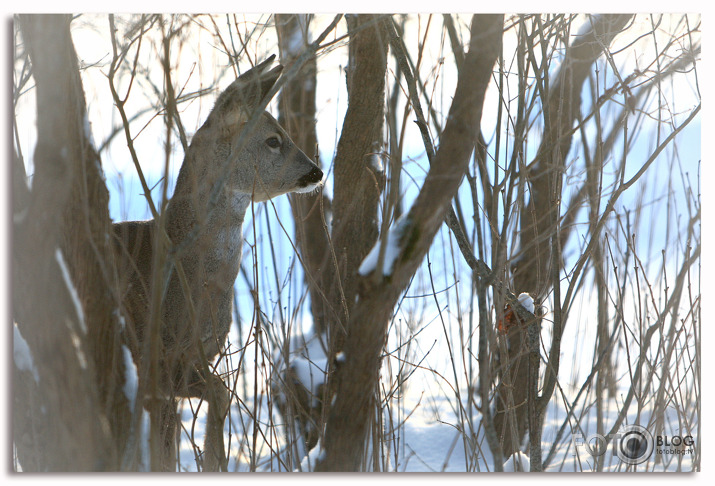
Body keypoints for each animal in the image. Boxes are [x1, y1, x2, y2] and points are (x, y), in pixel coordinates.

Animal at [113, 56, 324, 470]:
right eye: (273, 140)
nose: (316, 172)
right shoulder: (158, 358)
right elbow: (214, 398)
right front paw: (212, 459)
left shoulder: (194, 359)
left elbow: (211, 399)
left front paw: (214, 460)